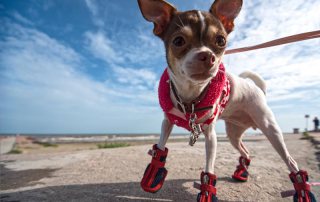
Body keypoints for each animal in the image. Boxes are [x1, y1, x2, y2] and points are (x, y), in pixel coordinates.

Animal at [138, 0, 316, 202]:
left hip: (271, 130)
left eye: (221, 41)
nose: (207, 55)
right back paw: (242, 172)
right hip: (233, 134)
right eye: (178, 41)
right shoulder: (167, 122)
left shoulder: (210, 135)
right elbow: (160, 147)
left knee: (291, 161)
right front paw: (153, 174)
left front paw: (207, 192)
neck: (191, 98)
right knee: (246, 152)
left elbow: (208, 168)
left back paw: (303, 190)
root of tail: (258, 90)